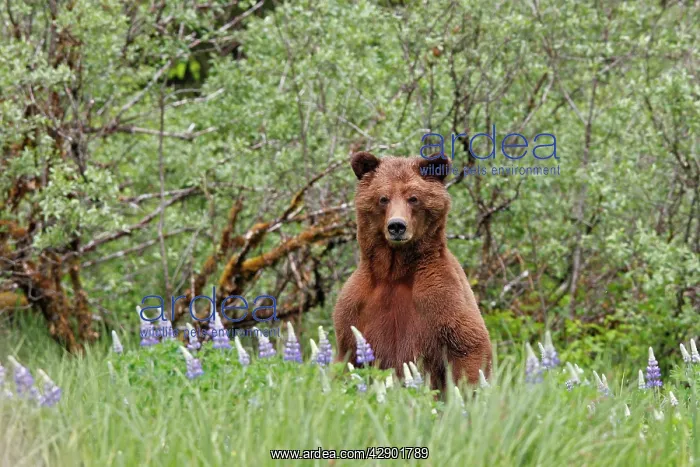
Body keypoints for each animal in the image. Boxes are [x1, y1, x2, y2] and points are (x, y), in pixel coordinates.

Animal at [333, 152, 492, 389]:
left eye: (414, 198)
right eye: (383, 198)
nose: (397, 226)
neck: (394, 271)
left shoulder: (440, 298)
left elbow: (468, 347)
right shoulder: (356, 308)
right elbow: (347, 356)